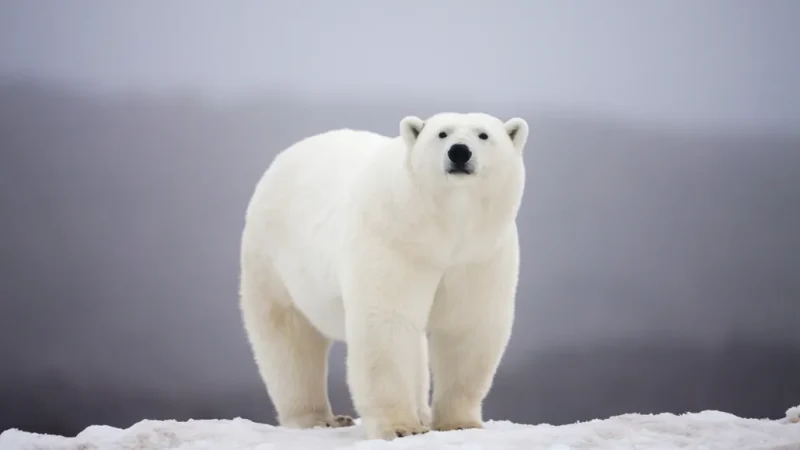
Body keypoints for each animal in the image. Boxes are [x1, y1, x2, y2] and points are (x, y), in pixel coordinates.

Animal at [241, 111, 528, 440]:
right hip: (274, 259)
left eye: (483, 135)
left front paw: (459, 423)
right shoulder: (395, 238)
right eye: (442, 133)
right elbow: (388, 322)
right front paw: (400, 428)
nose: (459, 152)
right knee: (289, 337)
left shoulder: (479, 253)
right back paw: (318, 418)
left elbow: (466, 324)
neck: (444, 228)